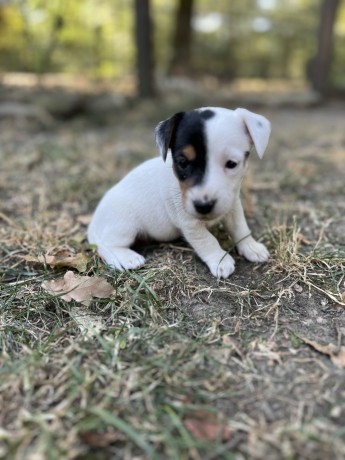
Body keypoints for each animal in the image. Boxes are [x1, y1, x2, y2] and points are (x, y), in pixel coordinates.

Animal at [87, 107, 270, 278]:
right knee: (104, 245)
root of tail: (94, 224)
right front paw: (220, 260)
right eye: (182, 162)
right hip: (124, 226)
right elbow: (206, 240)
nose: (203, 206)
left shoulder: (233, 205)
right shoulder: (189, 222)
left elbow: (240, 228)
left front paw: (251, 246)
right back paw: (126, 258)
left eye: (231, 164)